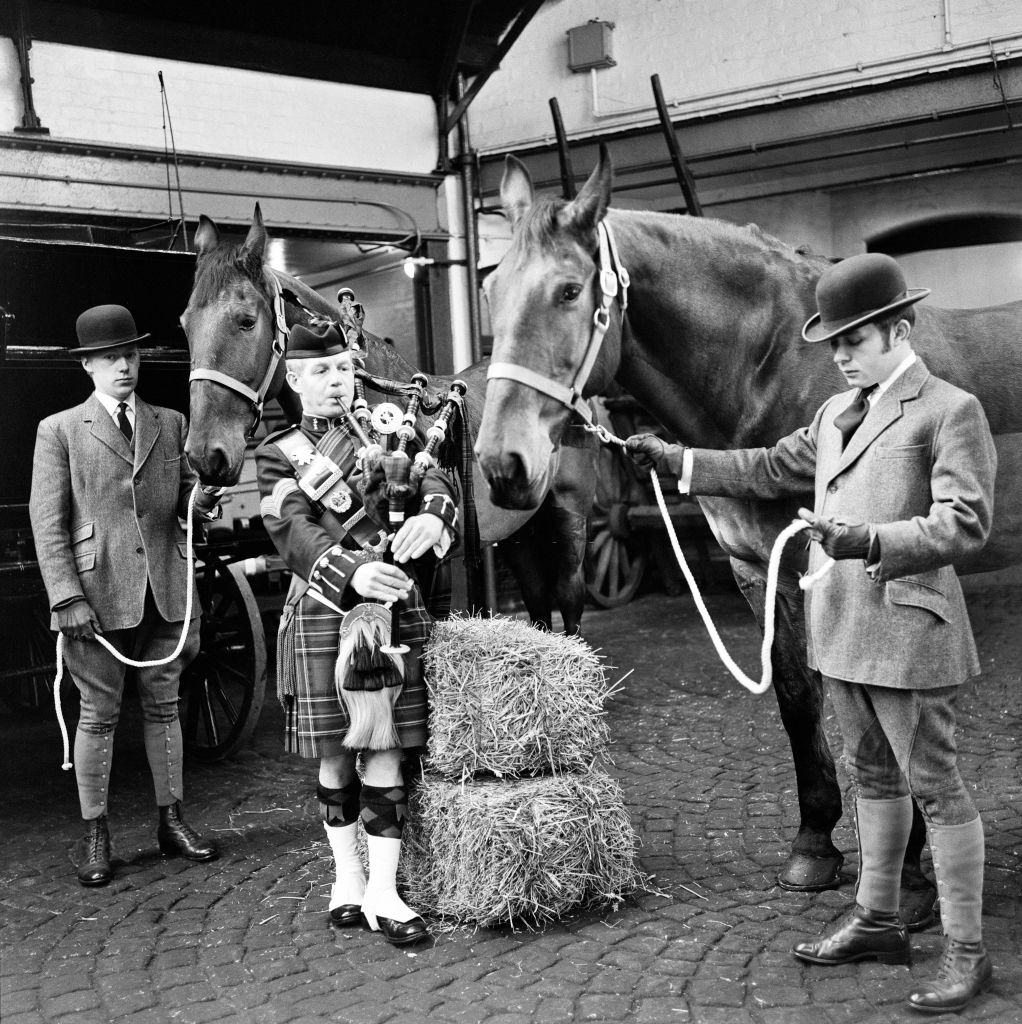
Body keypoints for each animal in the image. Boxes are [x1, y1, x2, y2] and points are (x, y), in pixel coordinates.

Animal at [180, 207, 598, 630]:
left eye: (247, 321)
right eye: (185, 324)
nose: (206, 455)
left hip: (568, 518)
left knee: (570, 600)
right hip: (520, 529)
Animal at [477, 148, 1022, 909]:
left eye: (567, 291)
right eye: (491, 289)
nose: (503, 464)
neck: (775, 367)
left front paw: (908, 868)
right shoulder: (760, 571)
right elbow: (797, 701)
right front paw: (815, 844)